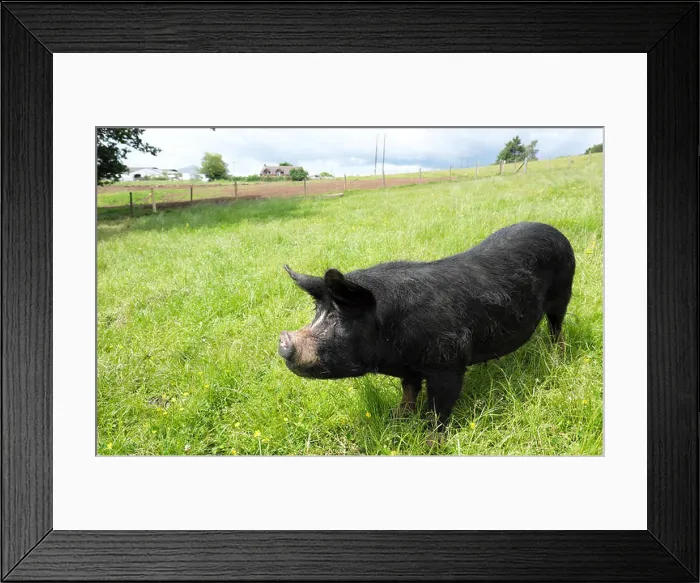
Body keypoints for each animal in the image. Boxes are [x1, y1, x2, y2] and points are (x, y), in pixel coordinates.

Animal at [278, 221, 576, 433]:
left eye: (339, 319)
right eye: (317, 313)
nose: (283, 340)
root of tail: (554, 230)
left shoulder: (449, 363)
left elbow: (437, 409)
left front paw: (430, 441)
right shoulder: (408, 368)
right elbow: (408, 392)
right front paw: (398, 417)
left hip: (563, 292)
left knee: (557, 327)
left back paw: (558, 357)